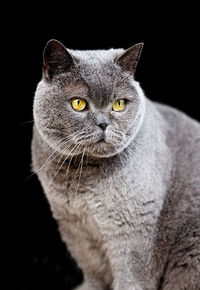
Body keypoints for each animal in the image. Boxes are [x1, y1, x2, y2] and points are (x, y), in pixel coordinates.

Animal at [31, 39, 200, 290]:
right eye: (78, 103)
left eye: (119, 104)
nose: (103, 124)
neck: (81, 179)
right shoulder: (73, 227)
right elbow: (92, 269)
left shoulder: (131, 227)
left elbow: (130, 276)